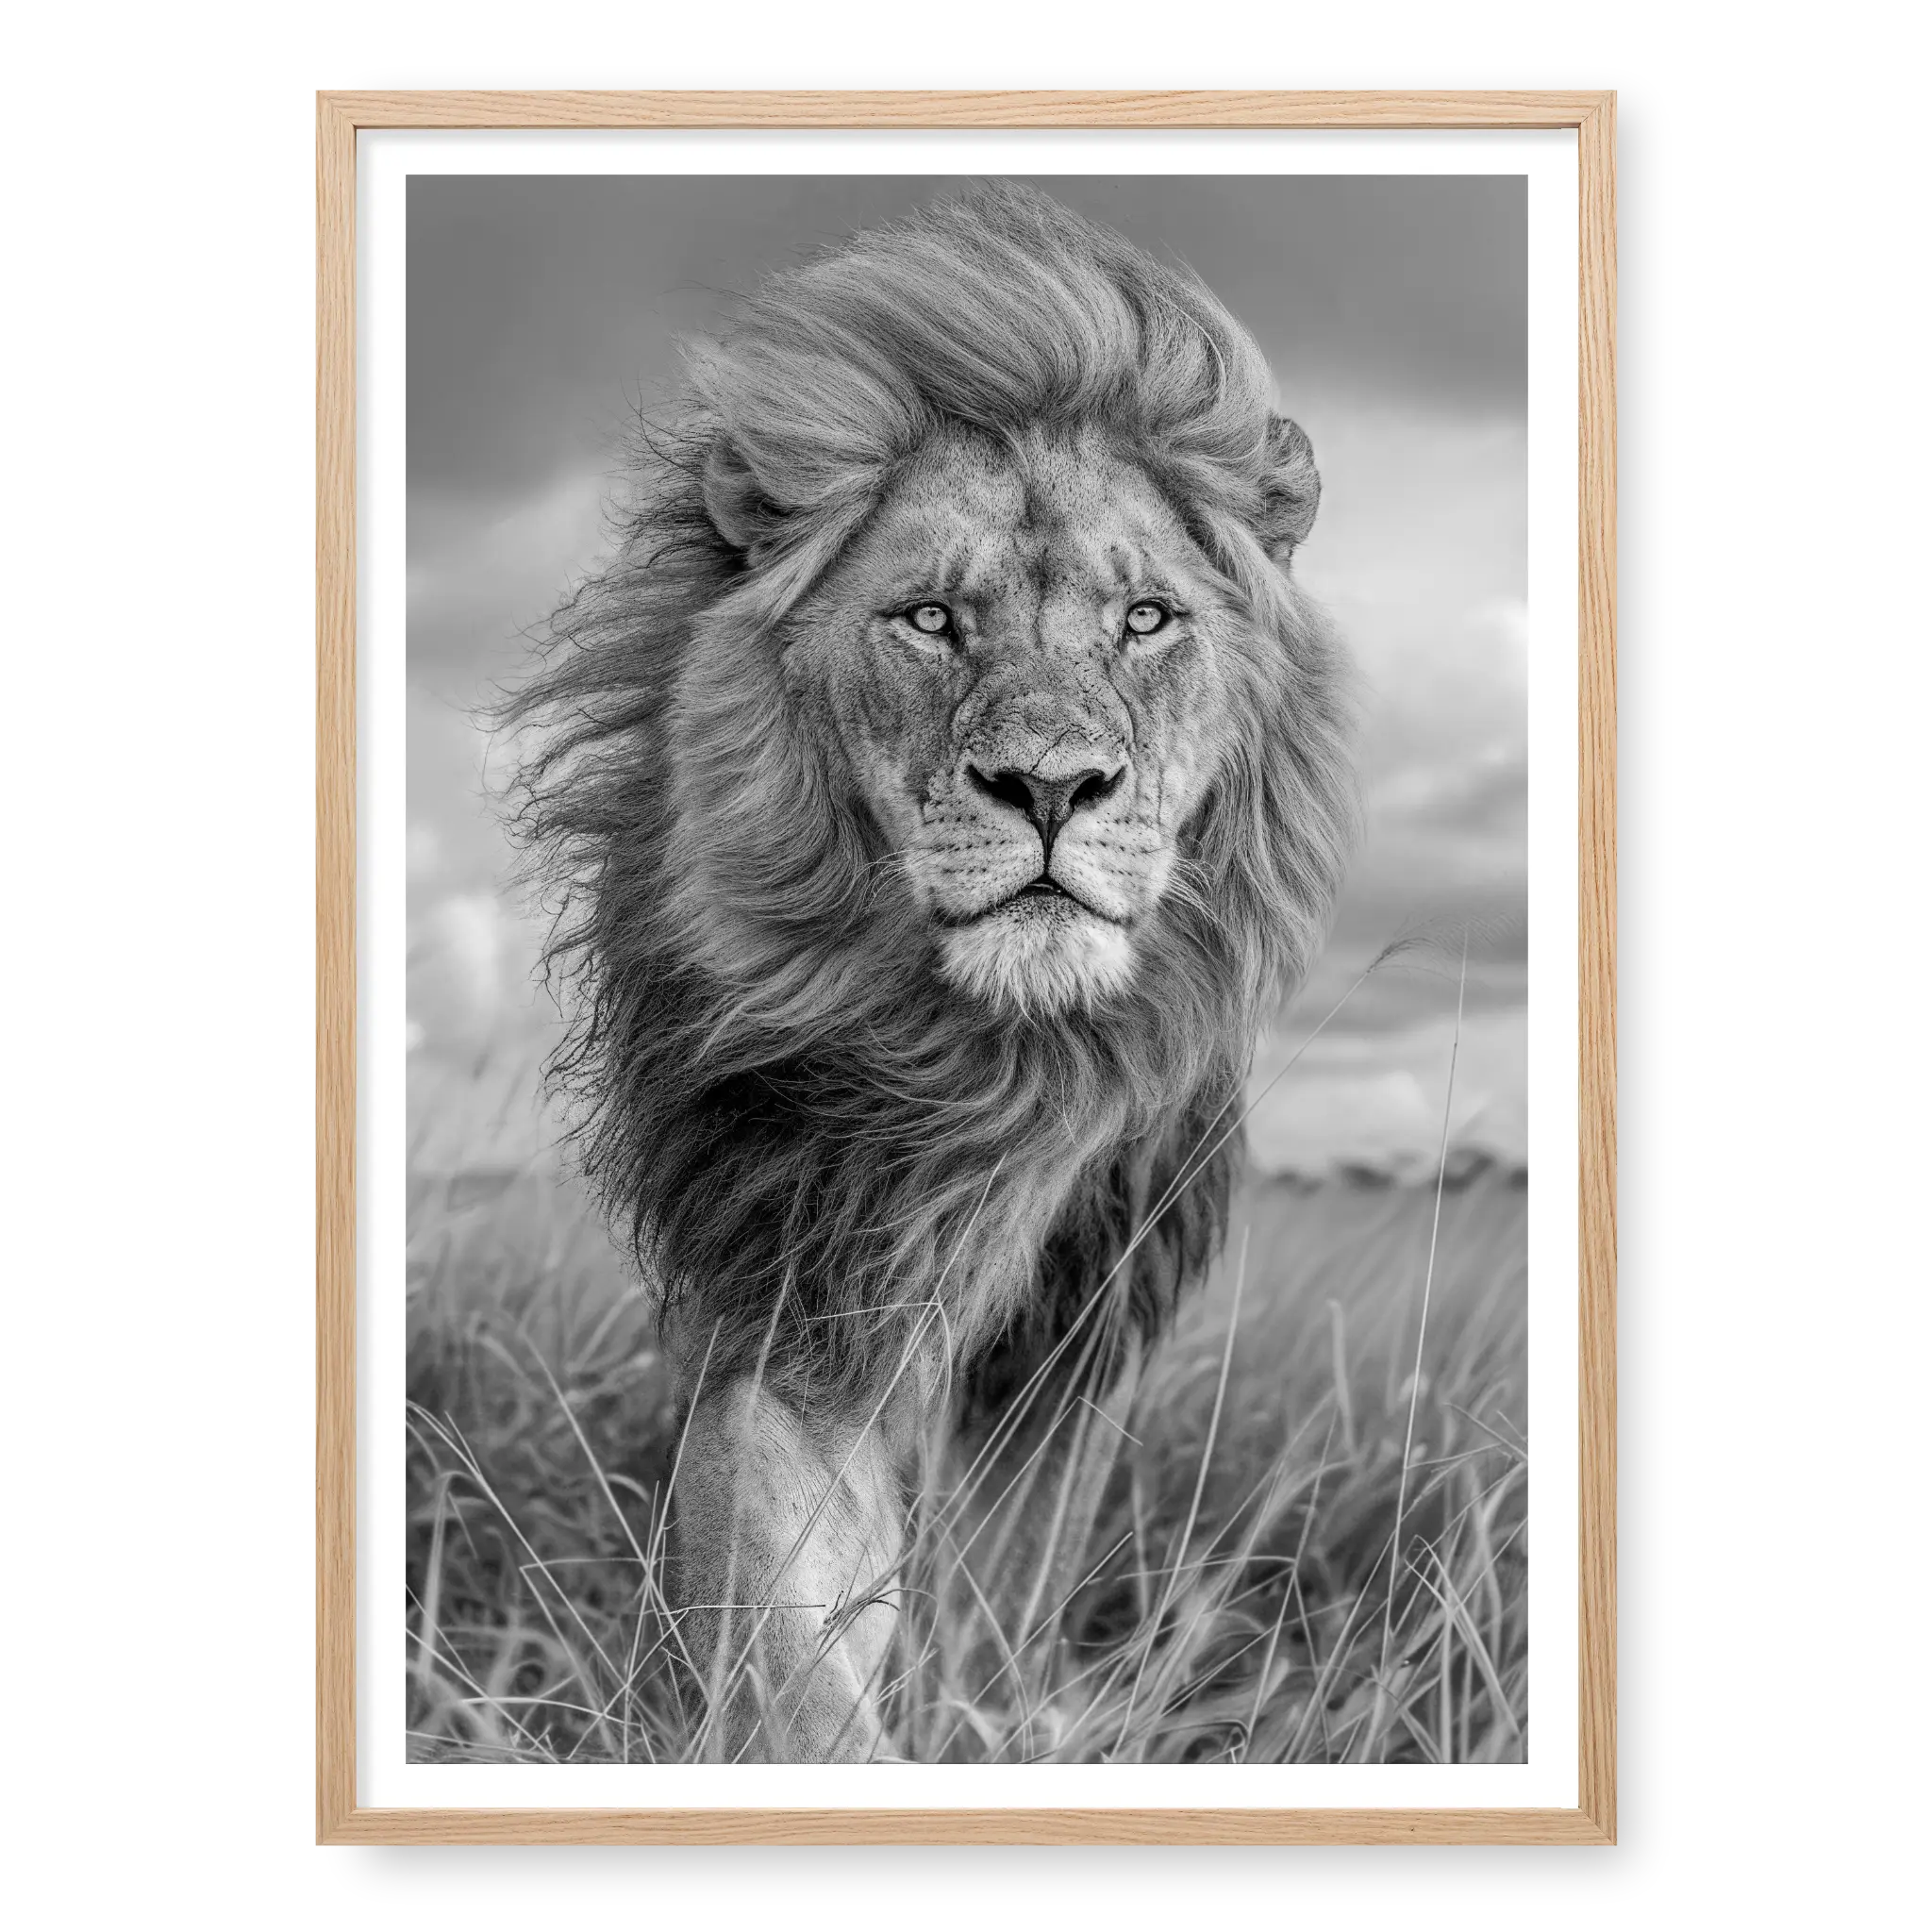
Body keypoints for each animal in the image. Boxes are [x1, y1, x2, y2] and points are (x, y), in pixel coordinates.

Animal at [502, 184, 1358, 1762]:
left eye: (1145, 621)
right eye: (931, 620)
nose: (1051, 785)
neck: (982, 1058)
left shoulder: (1078, 1320)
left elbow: (1000, 1586)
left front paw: (991, 1724)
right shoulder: (796, 1275)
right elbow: (779, 1616)